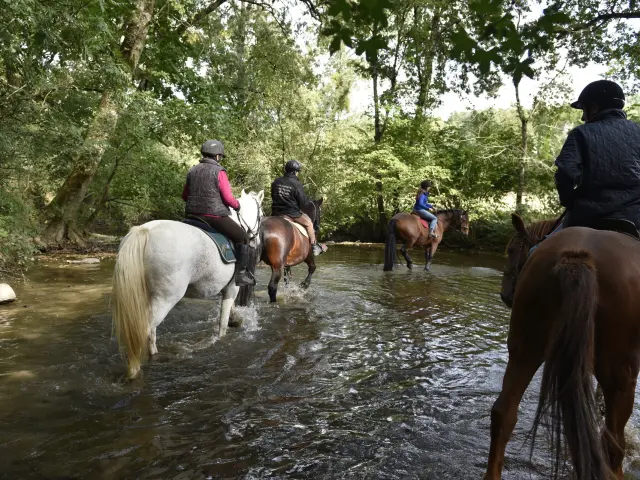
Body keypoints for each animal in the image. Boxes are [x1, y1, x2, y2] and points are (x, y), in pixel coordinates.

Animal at [111, 190, 264, 379]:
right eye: (262, 215)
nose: (256, 241)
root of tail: (144, 231)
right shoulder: (232, 288)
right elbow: (222, 323)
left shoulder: (226, 288)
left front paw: (236, 320)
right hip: (166, 298)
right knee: (147, 330)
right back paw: (137, 368)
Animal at [485, 212, 640, 479]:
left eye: (512, 249)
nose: (505, 295)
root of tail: (577, 256)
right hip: (620, 375)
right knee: (612, 442)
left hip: (525, 349)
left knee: (503, 414)